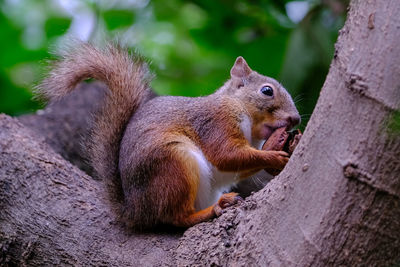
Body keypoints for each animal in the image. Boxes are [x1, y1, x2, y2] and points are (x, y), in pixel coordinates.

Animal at [38, 42, 300, 230]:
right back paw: (212, 209)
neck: (239, 108)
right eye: (267, 91)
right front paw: (273, 154)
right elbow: (226, 154)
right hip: (175, 163)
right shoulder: (215, 122)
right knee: (176, 217)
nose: (296, 119)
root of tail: (135, 210)